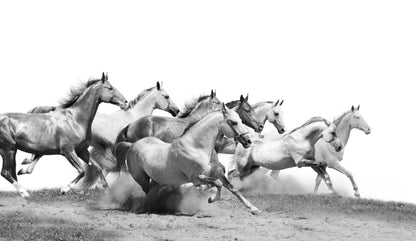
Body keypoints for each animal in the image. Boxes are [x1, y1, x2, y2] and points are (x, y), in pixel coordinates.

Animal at [17, 81, 179, 188]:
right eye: (166, 96)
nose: (176, 111)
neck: (133, 118)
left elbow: (103, 166)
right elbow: (112, 166)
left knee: (38, 155)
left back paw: (24, 167)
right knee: (39, 155)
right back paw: (25, 167)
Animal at [114, 103, 262, 215]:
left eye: (241, 120)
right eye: (234, 122)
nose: (248, 141)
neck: (196, 147)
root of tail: (132, 145)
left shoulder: (217, 173)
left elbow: (232, 189)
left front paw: (254, 209)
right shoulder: (196, 178)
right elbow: (216, 184)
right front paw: (210, 199)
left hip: (156, 178)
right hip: (142, 178)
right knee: (148, 192)